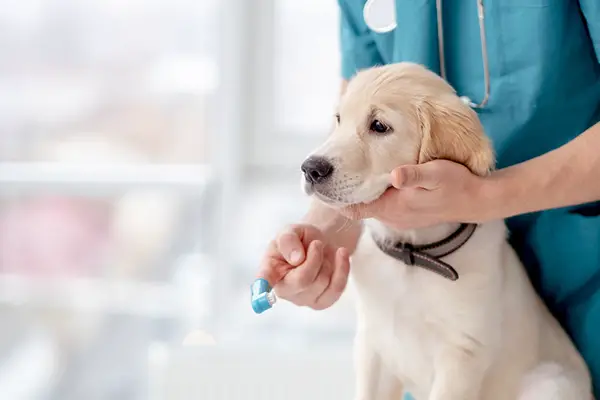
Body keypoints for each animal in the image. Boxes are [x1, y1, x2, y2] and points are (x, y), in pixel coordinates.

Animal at [300, 61, 592, 398]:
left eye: (379, 126)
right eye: (338, 119)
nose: (310, 168)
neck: (413, 254)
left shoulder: (462, 355)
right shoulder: (372, 345)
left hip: (550, 383)